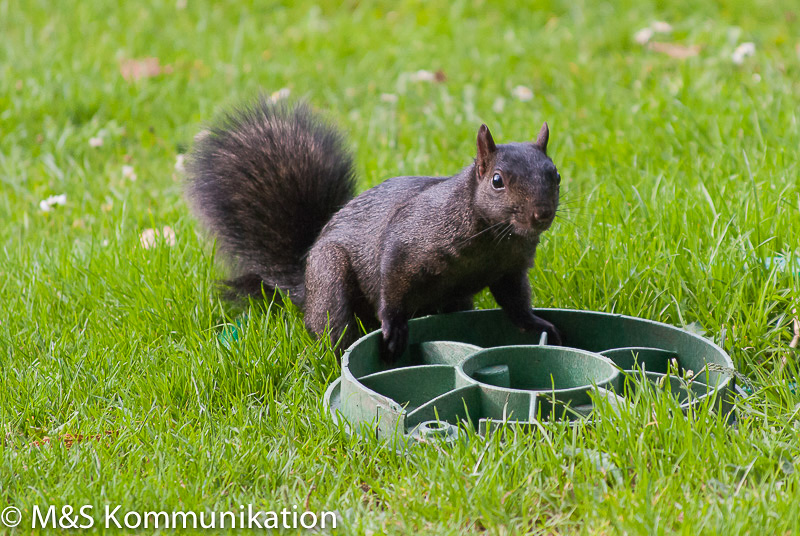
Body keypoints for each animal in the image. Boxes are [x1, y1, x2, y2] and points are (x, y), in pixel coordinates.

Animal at [188, 96, 564, 360]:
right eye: (497, 181)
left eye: (556, 175)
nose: (541, 215)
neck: (494, 237)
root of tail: (305, 283)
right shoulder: (409, 241)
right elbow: (393, 281)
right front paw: (394, 328)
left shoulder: (509, 269)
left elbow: (514, 301)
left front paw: (536, 324)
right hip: (329, 276)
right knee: (332, 328)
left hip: (456, 301)